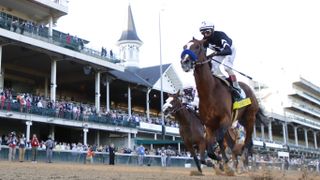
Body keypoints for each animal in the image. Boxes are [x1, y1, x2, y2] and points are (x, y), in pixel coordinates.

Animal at [180, 38, 264, 170]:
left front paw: (224, 159)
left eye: (197, 46)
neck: (210, 91)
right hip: (242, 120)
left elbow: (219, 139)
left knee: (247, 141)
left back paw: (244, 162)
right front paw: (219, 159)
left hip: (250, 117)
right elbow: (211, 147)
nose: (185, 62)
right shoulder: (209, 125)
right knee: (243, 141)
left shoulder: (225, 119)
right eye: (184, 47)